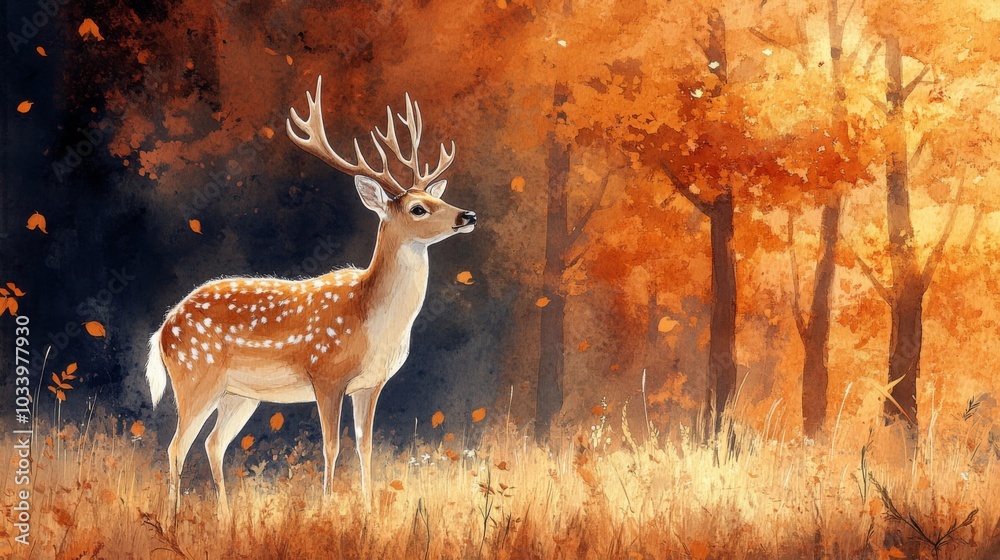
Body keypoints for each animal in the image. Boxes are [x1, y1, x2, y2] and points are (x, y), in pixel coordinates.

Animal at [144, 75, 476, 523]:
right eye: (419, 208)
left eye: (439, 198)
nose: (468, 216)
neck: (373, 322)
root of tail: (162, 329)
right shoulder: (327, 374)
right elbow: (330, 446)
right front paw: (328, 509)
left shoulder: (371, 385)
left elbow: (365, 447)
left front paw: (368, 513)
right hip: (195, 377)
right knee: (177, 445)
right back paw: (172, 520)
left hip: (239, 395)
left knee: (213, 444)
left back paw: (225, 518)